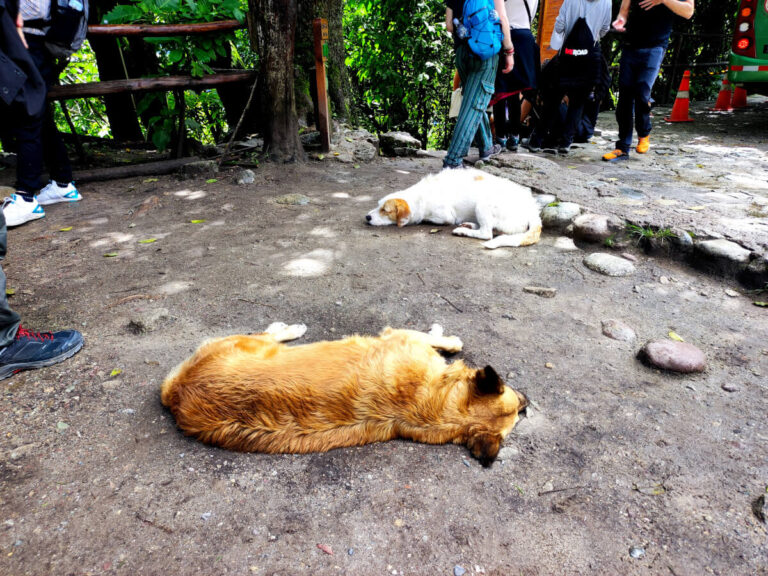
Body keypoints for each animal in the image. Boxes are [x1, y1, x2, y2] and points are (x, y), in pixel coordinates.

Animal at [162, 322, 528, 466]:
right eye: (514, 395)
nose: (528, 404)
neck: (433, 401)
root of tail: (176, 392)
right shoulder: (404, 335)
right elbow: (439, 339)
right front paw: (448, 339)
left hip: (246, 343)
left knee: (268, 335)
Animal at [364, 166, 540, 248]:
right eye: (378, 205)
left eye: (385, 211)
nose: (367, 217)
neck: (420, 196)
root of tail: (532, 210)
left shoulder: (445, 217)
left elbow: (428, 219)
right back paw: (469, 225)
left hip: (483, 204)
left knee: (487, 234)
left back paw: (463, 231)